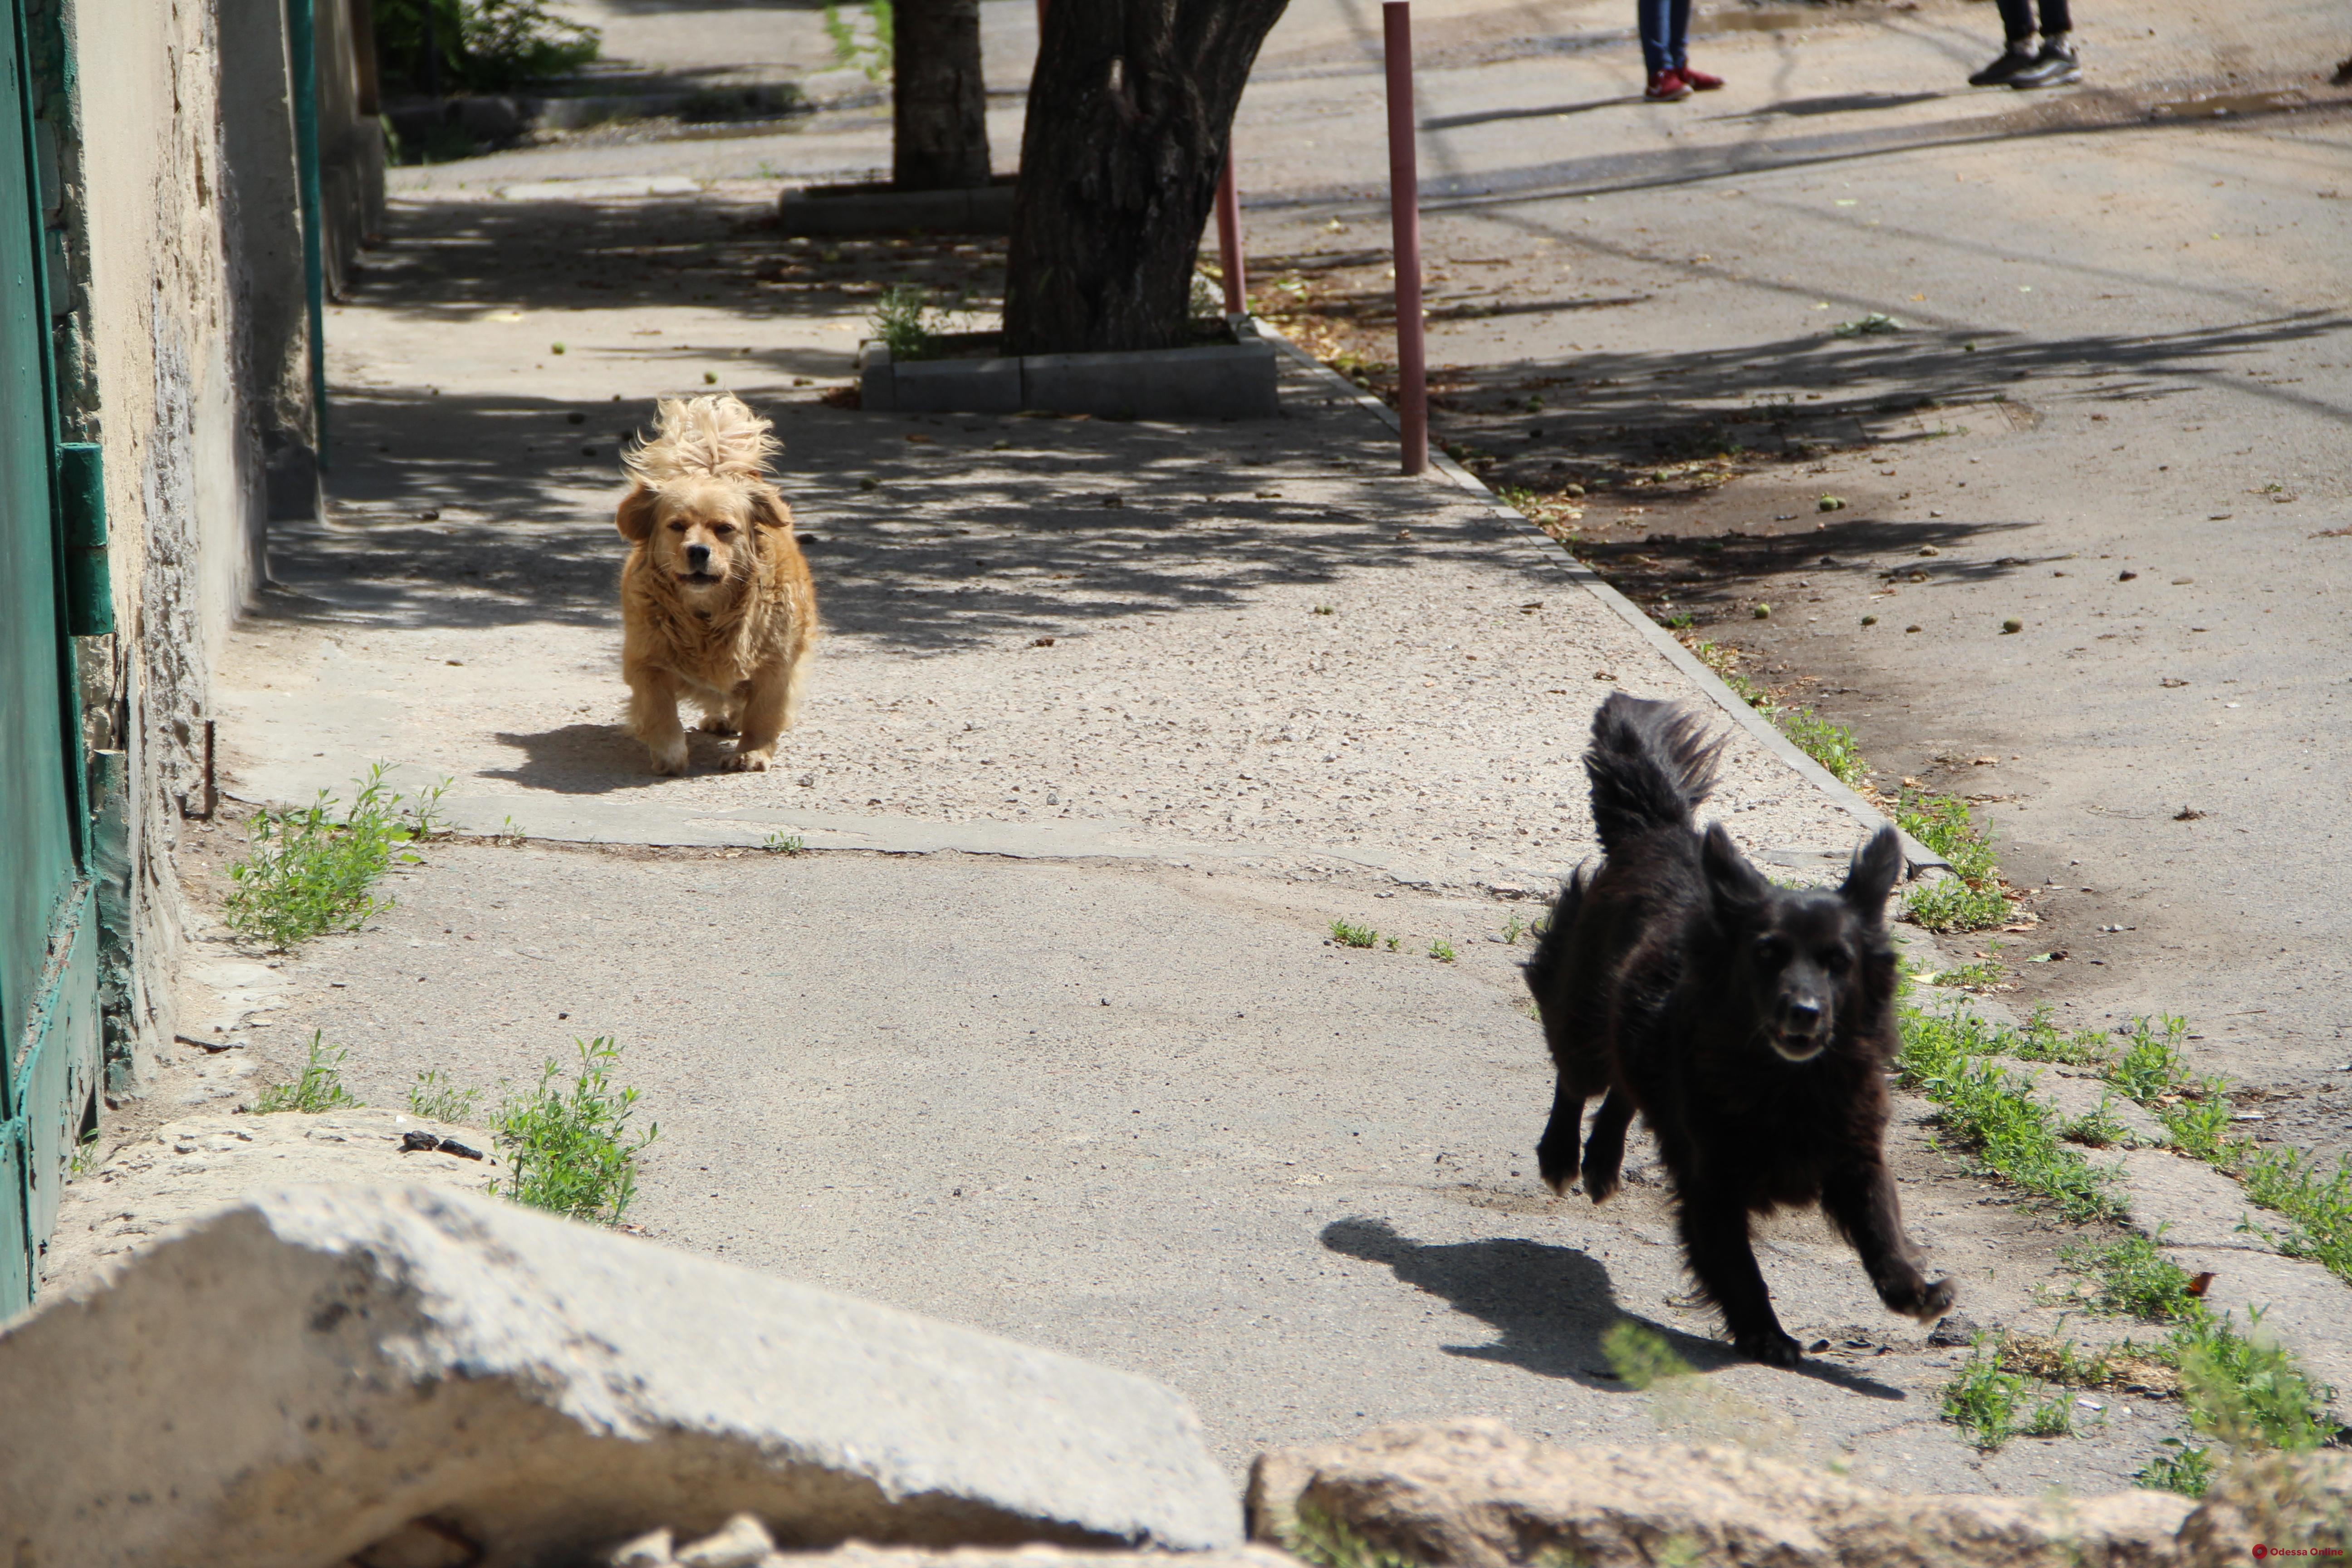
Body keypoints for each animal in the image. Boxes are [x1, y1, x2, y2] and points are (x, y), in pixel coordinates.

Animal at [616, 395, 818, 775]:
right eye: (677, 526)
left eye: (724, 529)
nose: (698, 550)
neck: (706, 615)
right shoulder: (646, 659)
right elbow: (659, 707)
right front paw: (670, 753)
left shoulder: (776, 664)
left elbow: (763, 713)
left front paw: (751, 752)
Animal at [1524, 691, 1947, 1363]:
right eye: (1767, 955)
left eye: (1838, 963)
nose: (1805, 1012)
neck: (1786, 1081)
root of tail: (1660, 832)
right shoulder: (1712, 1182)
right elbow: (1738, 1266)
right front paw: (1766, 1334)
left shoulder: (1855, 1156)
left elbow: (1883, 1229)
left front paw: (1914, 1290)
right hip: (1583, 1012)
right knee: (1578, 1077)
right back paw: (1564, 1156)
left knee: (1625, 1090)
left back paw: (1603, 1164)